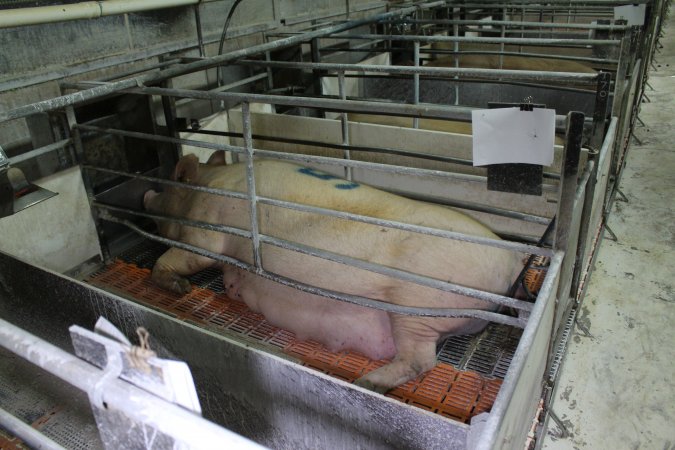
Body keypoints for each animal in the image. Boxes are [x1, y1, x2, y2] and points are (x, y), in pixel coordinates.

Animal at [144, 153, 524, 392]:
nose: (146, 193)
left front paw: (180, 288)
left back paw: (366, 383)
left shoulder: (205, 231)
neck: (206, 185)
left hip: (417, 307)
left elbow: (177, 258)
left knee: (420, 361)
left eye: (167, 186)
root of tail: (512, 265)